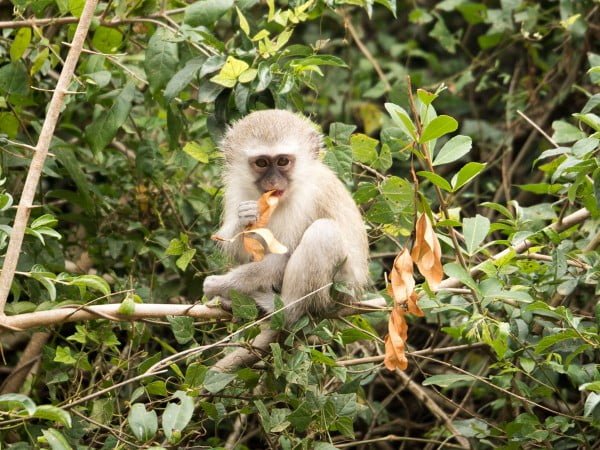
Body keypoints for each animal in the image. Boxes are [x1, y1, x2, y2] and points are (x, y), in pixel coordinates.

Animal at [204, 110, 368, 326]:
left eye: (282, 161)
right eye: (262, 163)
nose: (273, 182)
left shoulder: (306, 199)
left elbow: (283, 256)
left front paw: (221, 285)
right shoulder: (235, 191)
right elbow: (237, 249)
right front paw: (244, 217)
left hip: (341, 289)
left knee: (323, 232)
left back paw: (285, 309)